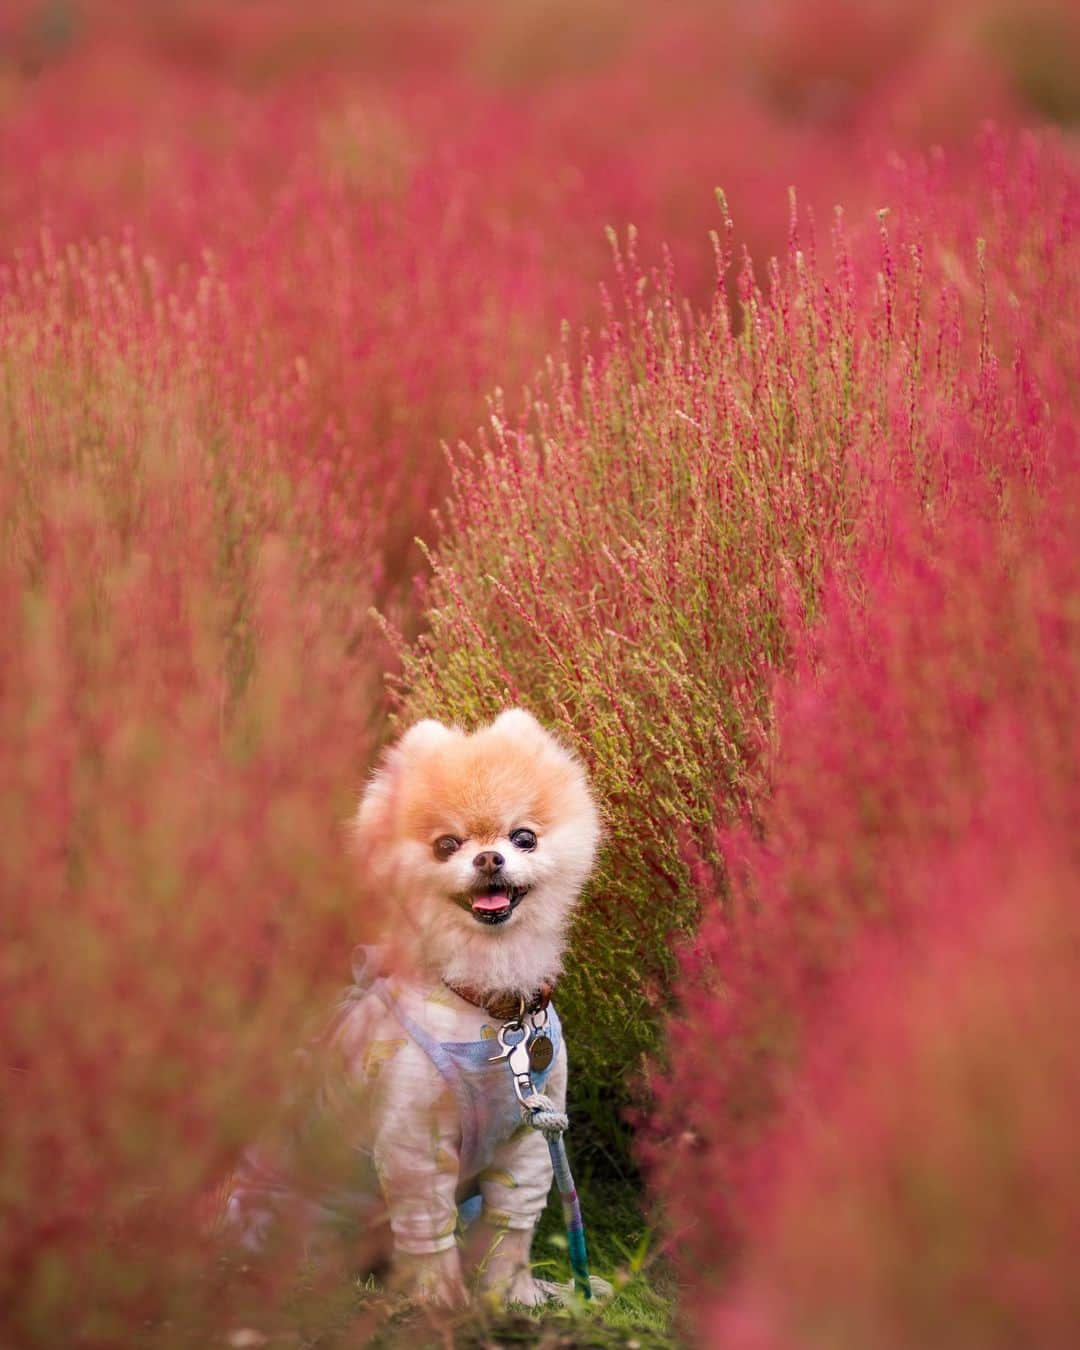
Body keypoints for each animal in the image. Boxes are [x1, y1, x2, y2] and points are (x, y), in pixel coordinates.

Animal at [224, 712, 602, 1301]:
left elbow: (510, 1228)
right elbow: (429, 1231)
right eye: (447, 845)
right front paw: (442, 1303)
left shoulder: (530, 1141)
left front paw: (513, 1296)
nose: (489, 856)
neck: (492, 1012)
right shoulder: (413, 1141)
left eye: (524, 838)